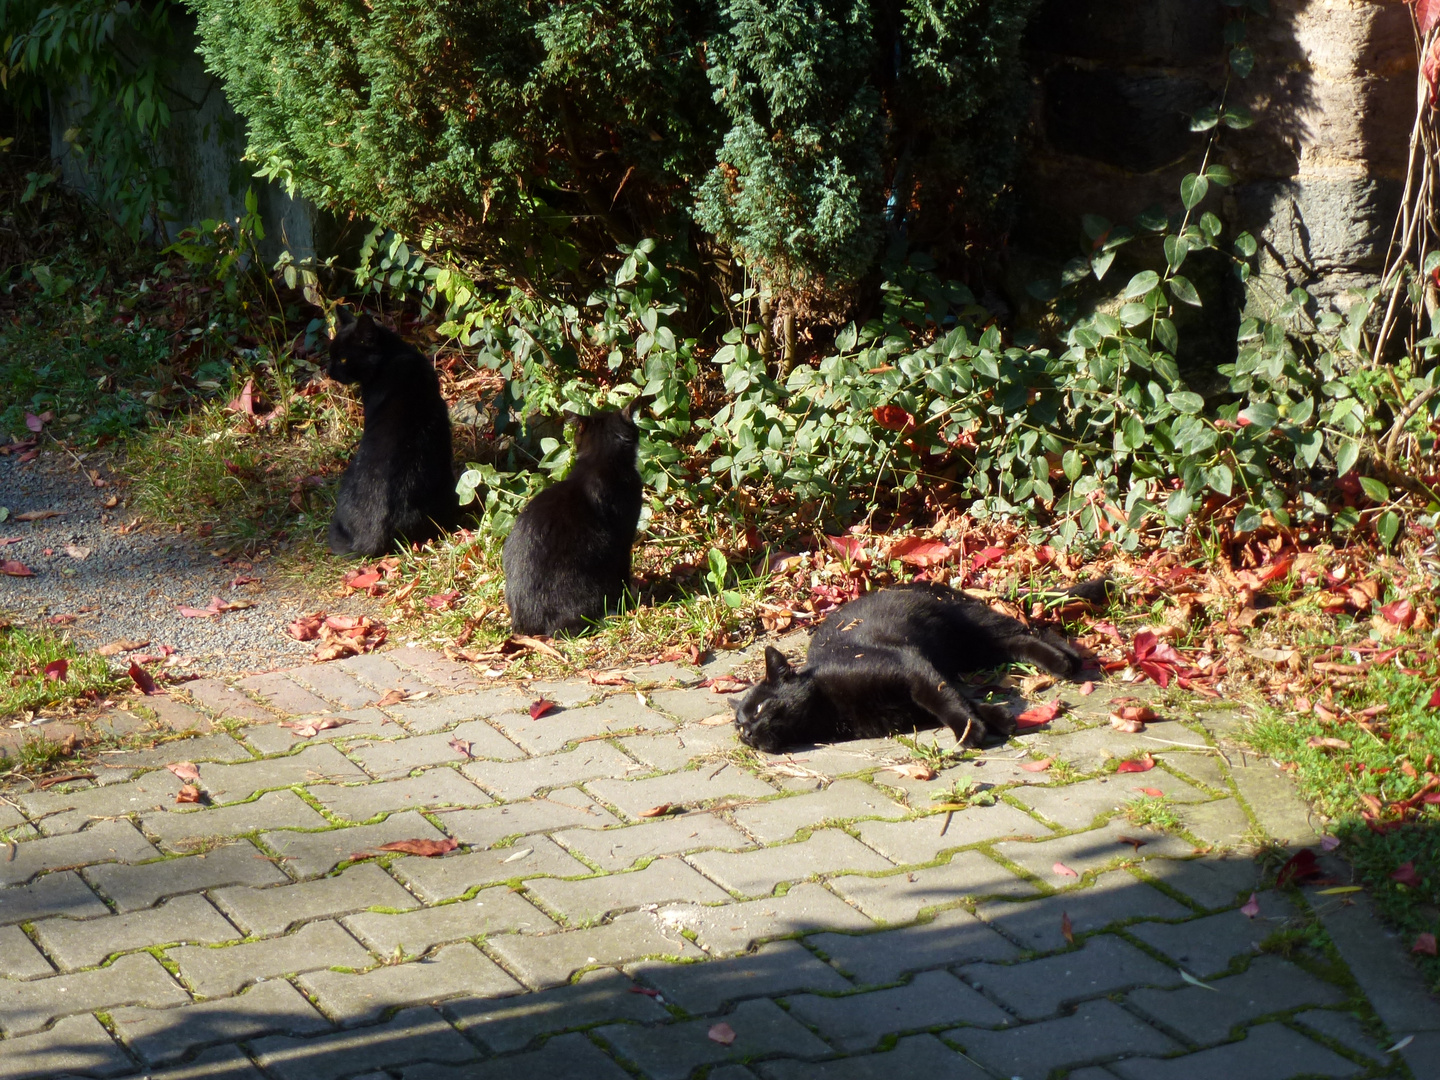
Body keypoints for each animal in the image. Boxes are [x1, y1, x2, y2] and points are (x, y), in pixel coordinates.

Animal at [737, 584, 1094, 754]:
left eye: (760, 708)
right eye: (739, 728)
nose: (748, 734)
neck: (829, 711)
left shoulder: (911, 668)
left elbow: (944, 700)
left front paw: (970, 732)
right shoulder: (908, 703)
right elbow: (960, 699)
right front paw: (997, 717)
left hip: (972, 626)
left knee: (1031, 630)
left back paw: (1064, 662)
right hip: (971, 650)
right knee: (1020, 638)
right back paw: (1067, 660)